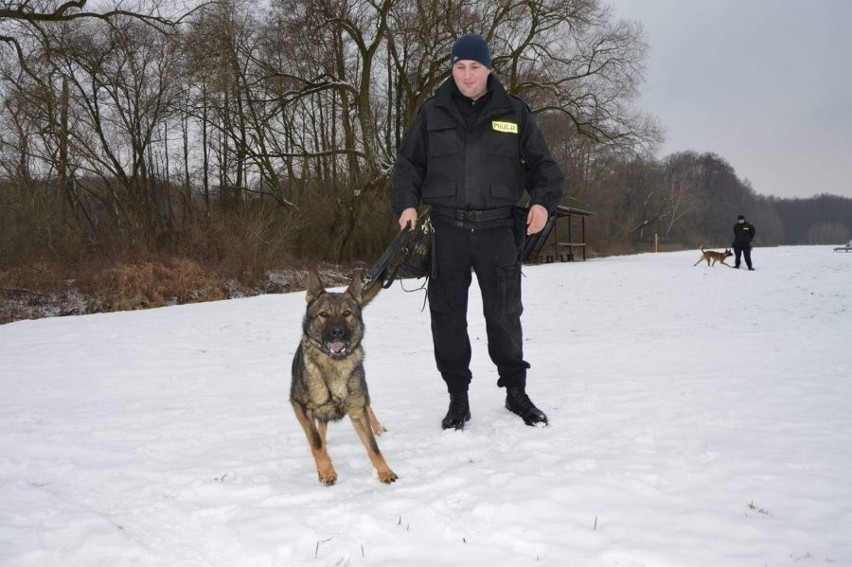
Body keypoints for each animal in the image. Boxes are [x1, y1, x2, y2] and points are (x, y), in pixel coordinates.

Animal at [290, 270, 396, 488]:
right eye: (324, 315)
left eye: (347, 313)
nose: (337, 332)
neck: (335, 365)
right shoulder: (300, 406)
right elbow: (316, 442)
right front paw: (326, 472)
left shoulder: (356, 408)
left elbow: (373, 447)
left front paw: (385, 472)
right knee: (319, 431)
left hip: (362, 395)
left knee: (368, 407)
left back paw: (378, 429)